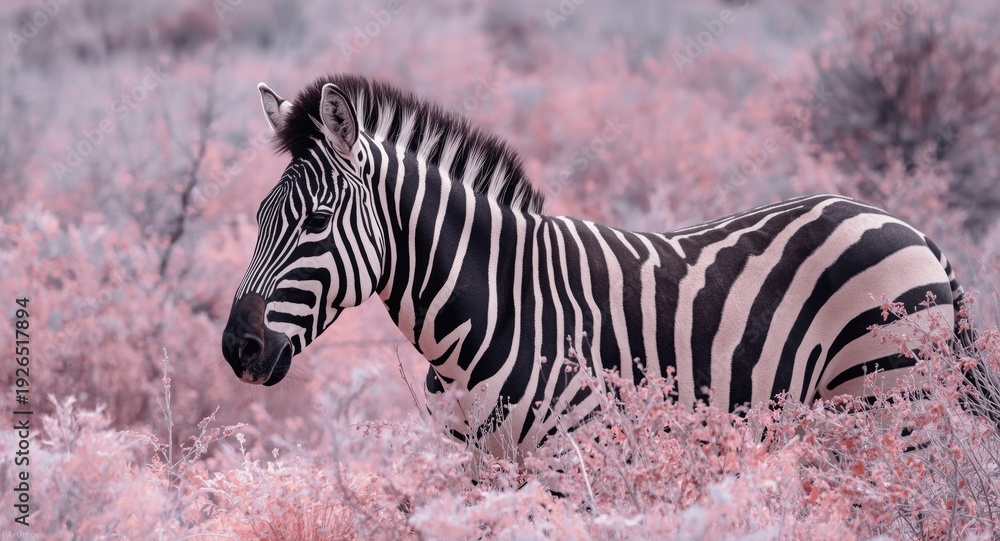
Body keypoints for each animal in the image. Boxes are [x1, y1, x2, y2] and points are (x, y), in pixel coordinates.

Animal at [222, 74, 976, 461]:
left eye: (317, 222)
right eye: (258, 218)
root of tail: (912, 229)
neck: (492, 307)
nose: (238, 348)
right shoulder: (481, 468)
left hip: (889, 405)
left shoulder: (573, 459)